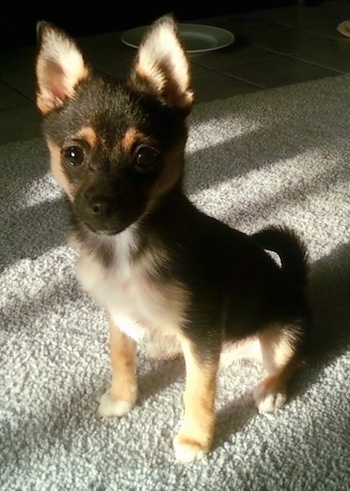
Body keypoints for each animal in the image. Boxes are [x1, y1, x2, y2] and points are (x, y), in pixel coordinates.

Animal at [34, 14, 308, 462]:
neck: (125, 248)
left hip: (284, 333)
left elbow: (199, 390)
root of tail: (296, 285)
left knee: (290, 360)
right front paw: (122, 398)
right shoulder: (118, 314)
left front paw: (195, 438)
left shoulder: (202, 331)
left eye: (145, 156)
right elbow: (120, 355)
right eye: (73, 155)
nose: (101, 207)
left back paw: (270, 388)